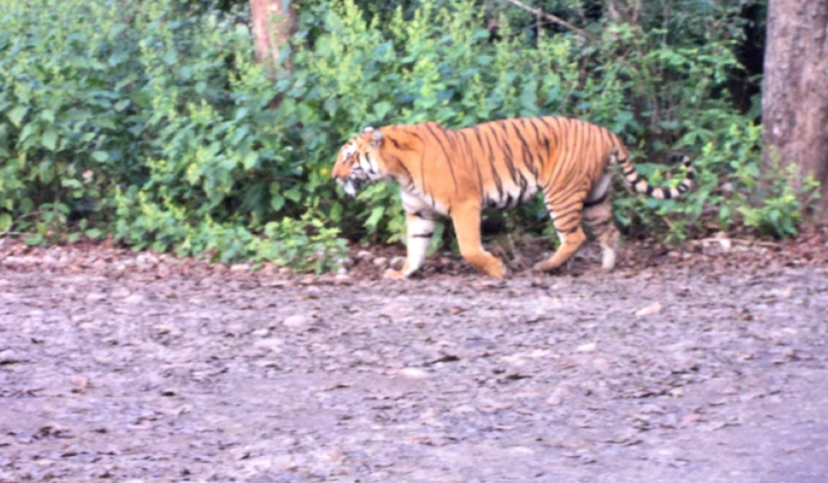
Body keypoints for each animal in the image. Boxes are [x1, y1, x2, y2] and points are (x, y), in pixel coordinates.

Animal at [330, 116, 692, 280]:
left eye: (347, 157)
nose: (333, 176)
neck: (398, 171)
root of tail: (605, 131)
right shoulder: (419, 213)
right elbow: (416, 247)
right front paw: (402, 273)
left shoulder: (465, 204)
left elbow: (469, 247)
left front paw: (496, 269)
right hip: (596, 197)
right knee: (609, 231)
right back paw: (606, 267)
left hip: (561, 193)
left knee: (575, 236)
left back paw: (546, 266)